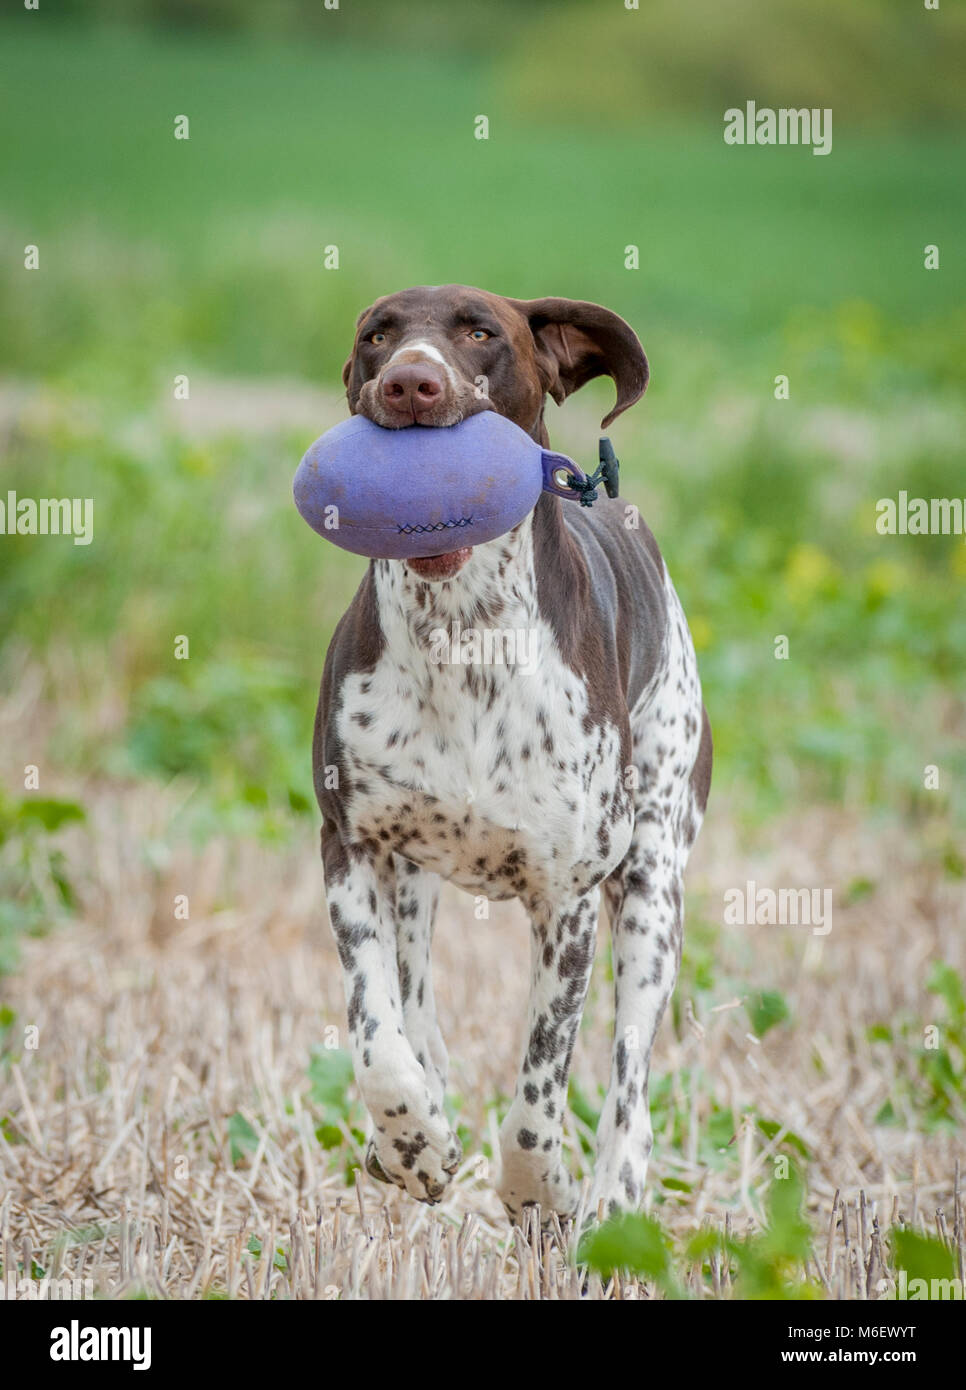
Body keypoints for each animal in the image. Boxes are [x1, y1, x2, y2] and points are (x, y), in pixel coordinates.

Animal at [314, 287, 711, 1223]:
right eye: (376, 334)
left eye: (479, 331)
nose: (410, 382)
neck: (463, 634)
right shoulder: (350, 845)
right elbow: (378, 1031)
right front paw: (412, 1139)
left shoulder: (567, 898)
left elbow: (541, 1083)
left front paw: (540, 1189)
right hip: (412, 880)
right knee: (415, 998)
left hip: (653, 887)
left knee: (630, 1070)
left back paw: (613, 1195)